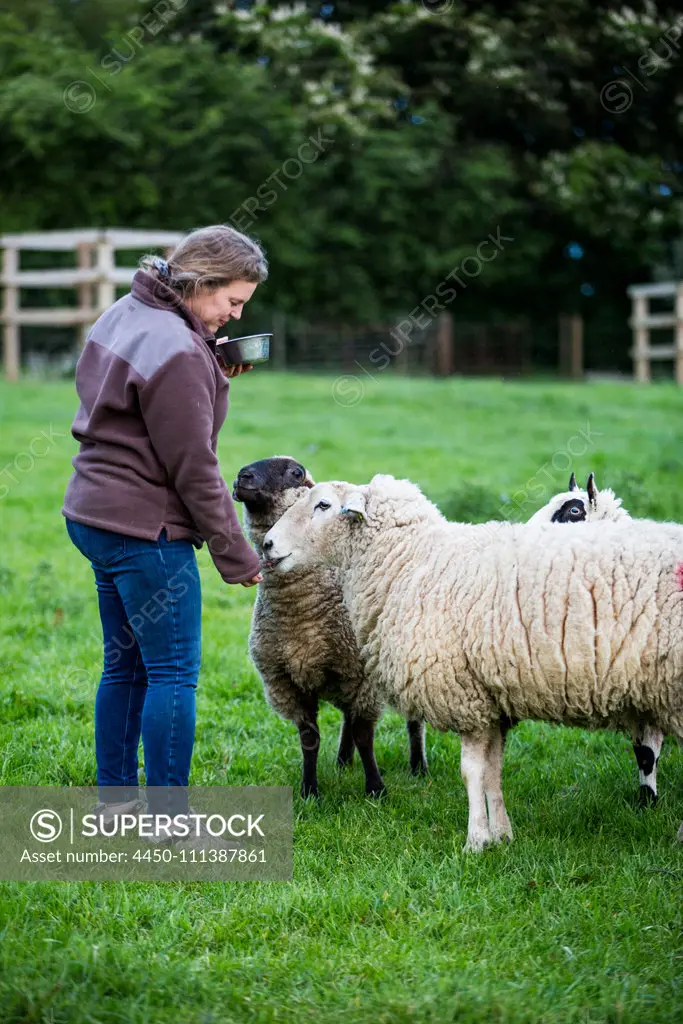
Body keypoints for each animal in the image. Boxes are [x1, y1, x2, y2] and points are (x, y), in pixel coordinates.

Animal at [264, 475, 683, 851]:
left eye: (323, 505)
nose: (267, 544)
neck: (412, 559)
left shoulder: (466, 696)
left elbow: (472, 772)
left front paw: (476, 841)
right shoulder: (491, 698)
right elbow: (493, 771)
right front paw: (502, 835)